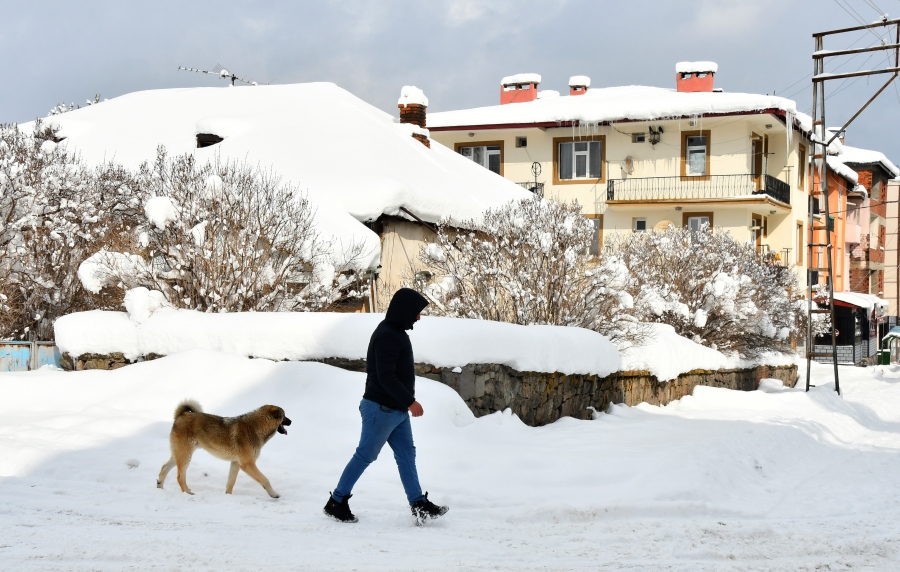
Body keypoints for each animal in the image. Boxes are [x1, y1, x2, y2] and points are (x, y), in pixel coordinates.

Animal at [156, 400, 292, 498]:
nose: (291, 421)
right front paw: (274, 494)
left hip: (180, 455)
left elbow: (231, 482)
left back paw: (160, 487)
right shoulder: (247, 464)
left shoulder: (236, 463)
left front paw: (228, 496)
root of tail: (181, 414)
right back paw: (188, 493)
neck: (255, 428)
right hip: (185, 456)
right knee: (179, 477)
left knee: (163, 468)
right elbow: (265, 479)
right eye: (284, 415)